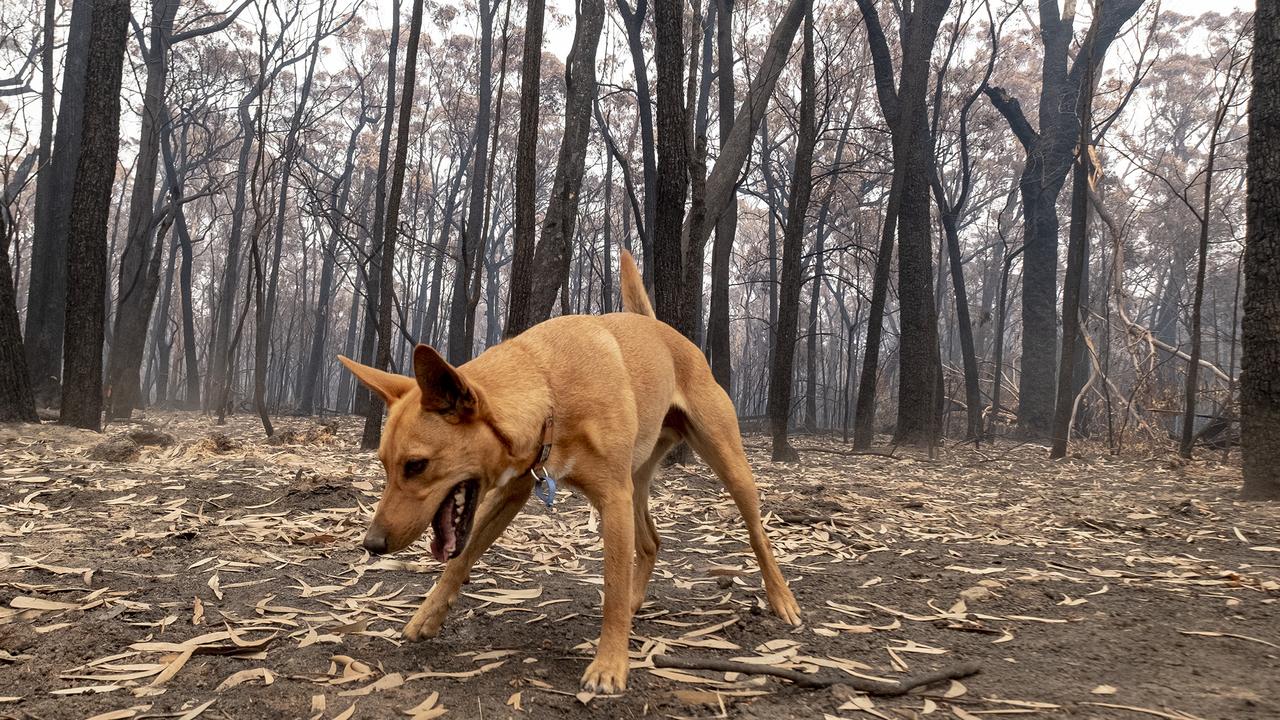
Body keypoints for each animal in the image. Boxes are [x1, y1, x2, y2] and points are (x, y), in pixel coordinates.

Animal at [340, 251, 798, 691]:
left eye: (416, 465)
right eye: (384, 465)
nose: (372, 544)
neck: (548, 389)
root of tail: (661, 329)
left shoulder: (610, 500)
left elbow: (612, 587)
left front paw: (610, 664)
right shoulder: (513, 491)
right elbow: (460, 561)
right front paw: (427, 617)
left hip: (725, 461)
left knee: (757, 533)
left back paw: (782, 600)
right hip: (636, 485)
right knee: (650, 542)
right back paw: (638, 601)